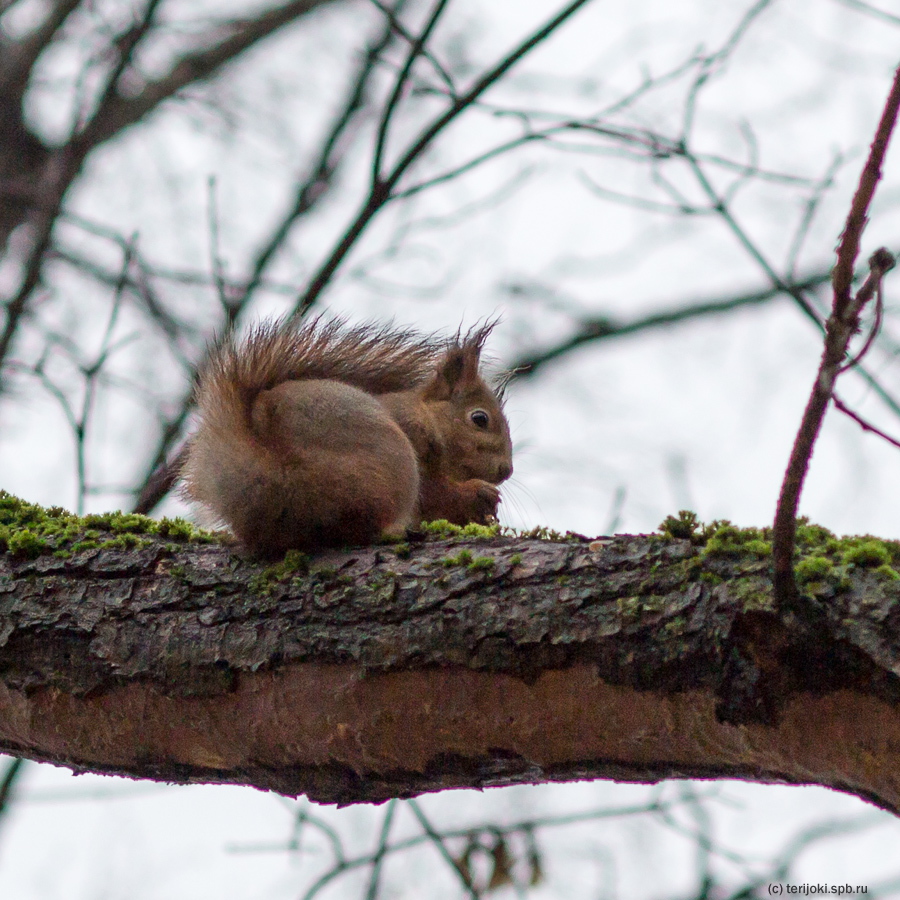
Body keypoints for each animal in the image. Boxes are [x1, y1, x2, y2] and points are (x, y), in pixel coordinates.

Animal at [181, 316, 512, 556]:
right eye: (479, 419)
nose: (506, 471)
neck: (428, 417)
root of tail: (283, 480)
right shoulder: (414, 435)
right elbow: (434, 492)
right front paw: (479, 495)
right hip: (393, 460)